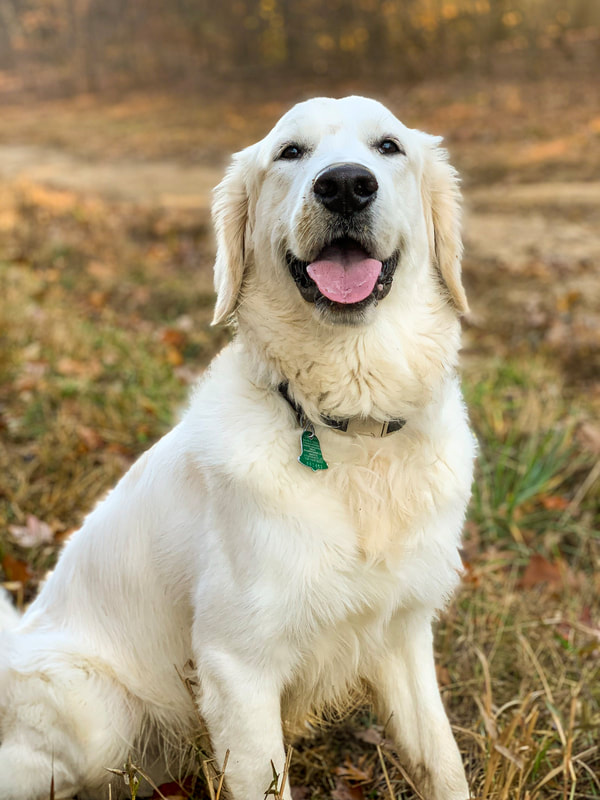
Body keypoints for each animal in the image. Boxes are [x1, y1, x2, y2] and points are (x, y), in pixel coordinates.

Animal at [2, 95, 476, 800]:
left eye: (388, 147)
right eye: (290, 152)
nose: (345, 185)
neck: (351, 430)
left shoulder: (403, 635)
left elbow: (443, 764)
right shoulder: (237, 665)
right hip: (97, 715)